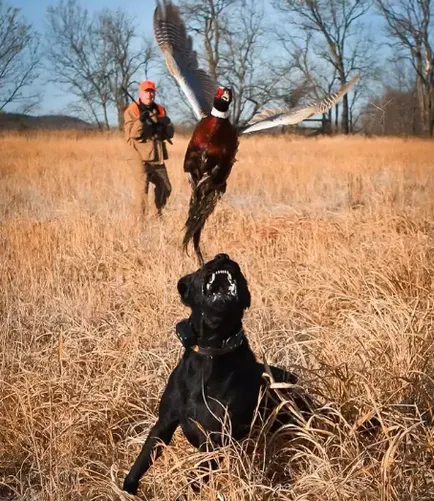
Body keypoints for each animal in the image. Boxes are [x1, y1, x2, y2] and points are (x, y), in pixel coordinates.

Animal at [123, 252, 312, 494]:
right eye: (199, 269)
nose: (222, 256)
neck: (211, 353)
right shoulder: (164, 423)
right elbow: (143, 459)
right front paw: (127, 489)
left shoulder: (216, 441)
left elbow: (194, 479)